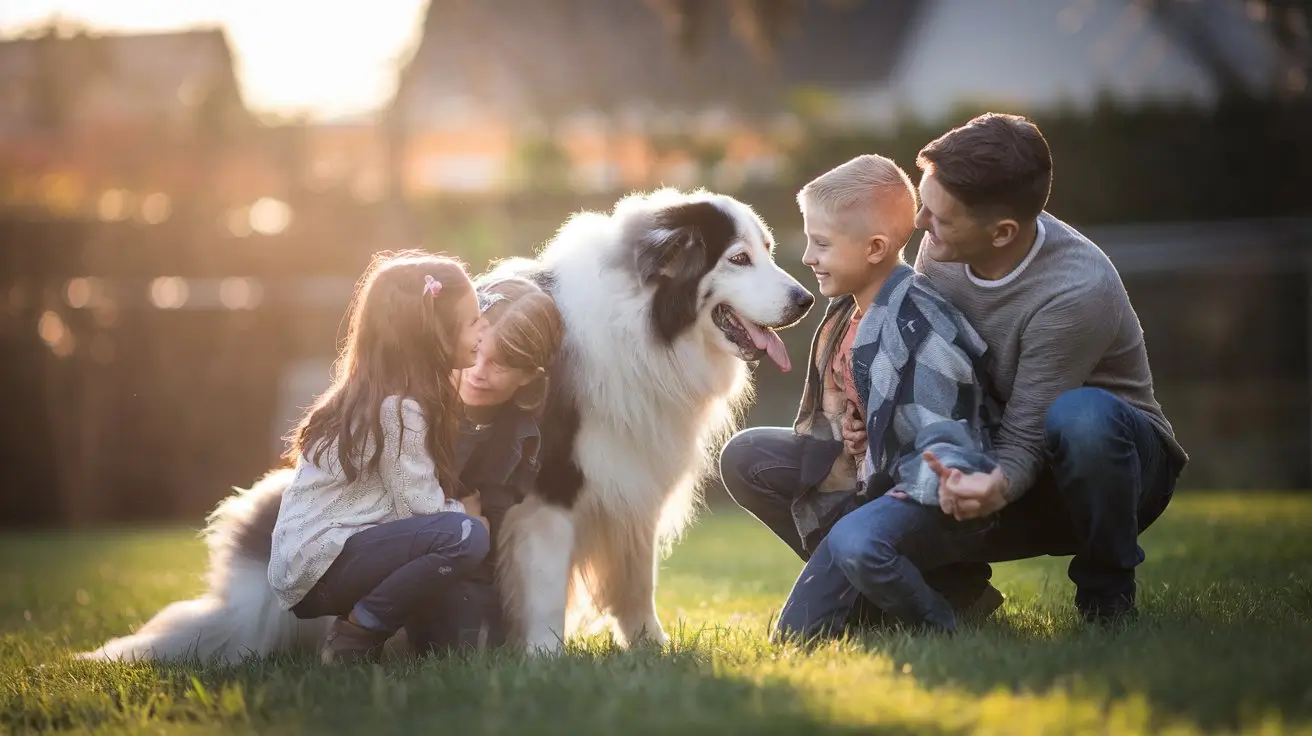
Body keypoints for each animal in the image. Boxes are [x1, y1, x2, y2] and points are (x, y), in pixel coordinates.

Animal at [79, 187, 808, 661]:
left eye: (770, 250)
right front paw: (545, 663)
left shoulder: (630, 487)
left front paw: (653, 651)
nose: (804, 298)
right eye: (737, 258)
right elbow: (545, 583)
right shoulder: (550, 494)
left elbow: (636, 582)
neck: (644, 320)